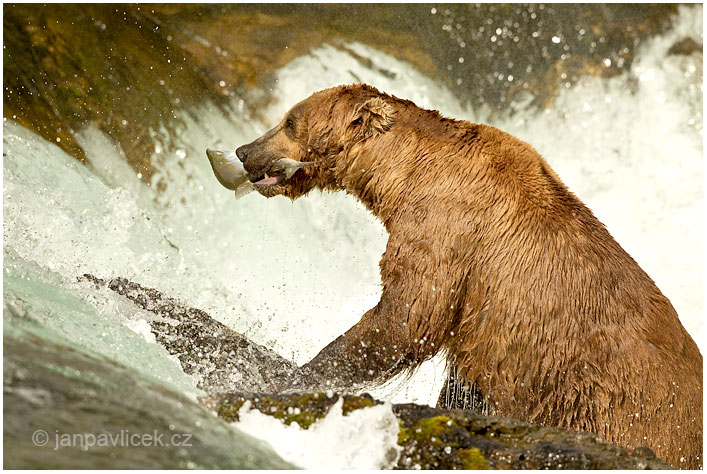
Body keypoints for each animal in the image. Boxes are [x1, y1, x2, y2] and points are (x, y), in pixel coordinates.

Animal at [234, 84, 704, 466]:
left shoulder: (447, 230)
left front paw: (297, 377)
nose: (243, 150)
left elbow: (407, 317)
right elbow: (464, 383)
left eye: (289, 120)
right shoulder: (486, 324)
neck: (406, 175)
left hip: (623, 407)